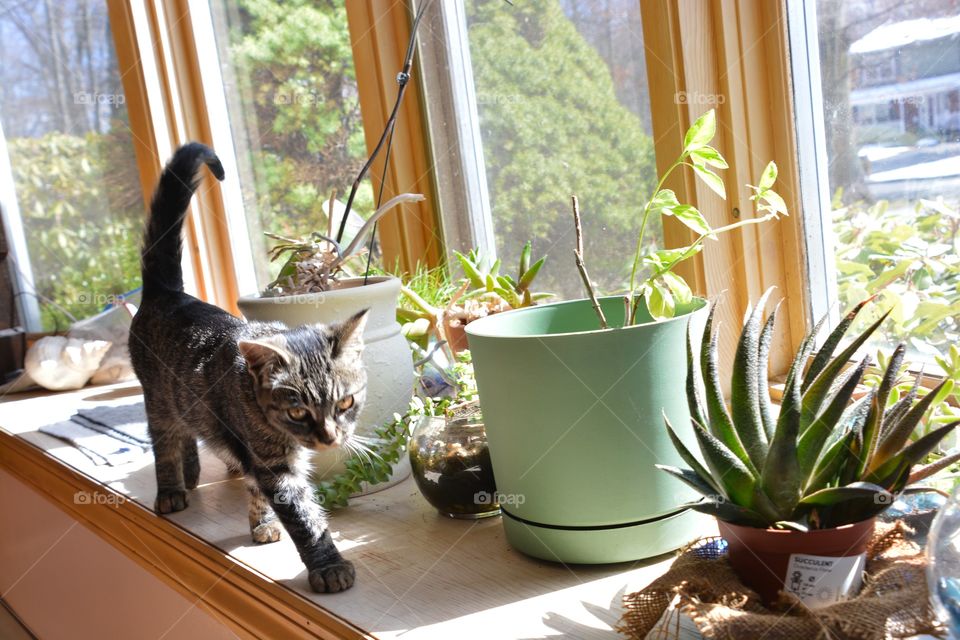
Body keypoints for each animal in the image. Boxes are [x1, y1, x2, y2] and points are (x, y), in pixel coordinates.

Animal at [131, 142, 364, 592]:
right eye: (297, 412)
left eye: (345, 404)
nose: (329, 438)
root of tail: (166, 292)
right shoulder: (271, 462)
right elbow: (304, 518)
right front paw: (328, 566)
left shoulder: (260, 459)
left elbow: (258, 491)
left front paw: (262, 523)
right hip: (158, 399)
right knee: (165, 440)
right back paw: (171, 489)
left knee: (188, 433)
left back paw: (191, 474)